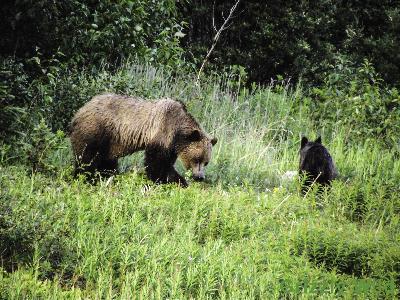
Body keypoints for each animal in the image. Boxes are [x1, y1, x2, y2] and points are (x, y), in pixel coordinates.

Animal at [70, 94, 217, 188]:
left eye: (206, 162)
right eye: (197, 159)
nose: (200, 177)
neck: (178, 130)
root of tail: (79, 111)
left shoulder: (171, 145)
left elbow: (166, 163)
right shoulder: (162, 131)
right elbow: (157, 163)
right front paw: (174, 181)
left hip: (109, 142)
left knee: (107, 162)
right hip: (97, 130)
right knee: (87, 158)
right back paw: (85, 178)